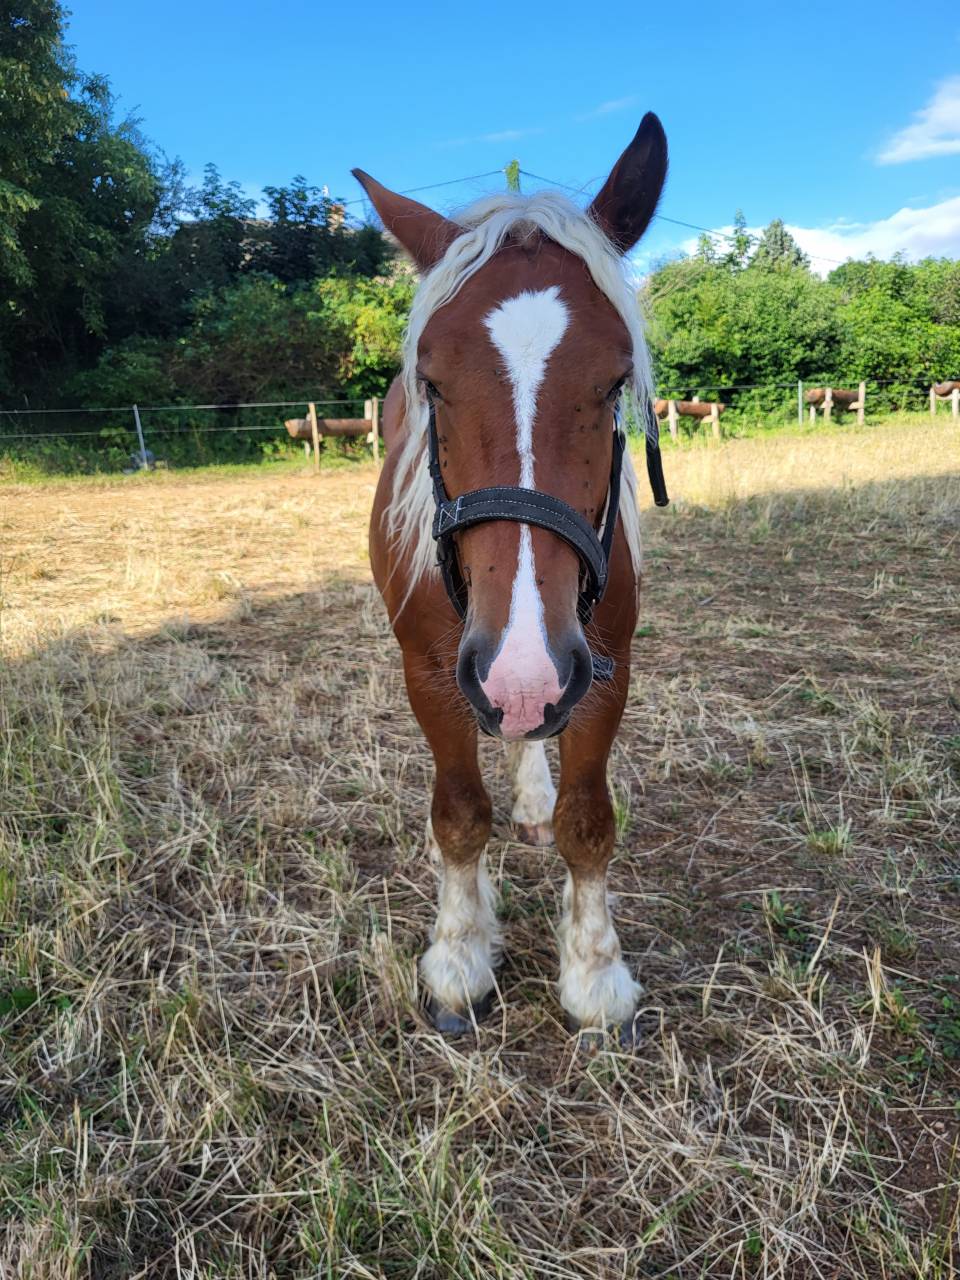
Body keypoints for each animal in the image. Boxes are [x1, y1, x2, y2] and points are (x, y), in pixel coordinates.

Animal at [353, 114, 668, 1039]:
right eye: (432, 382)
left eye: (614, 382)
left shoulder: (600, 670)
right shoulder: (431, 673)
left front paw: (595, 972)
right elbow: (459, 816)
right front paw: (459, 956)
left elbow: (588, 820)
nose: (523, 673)